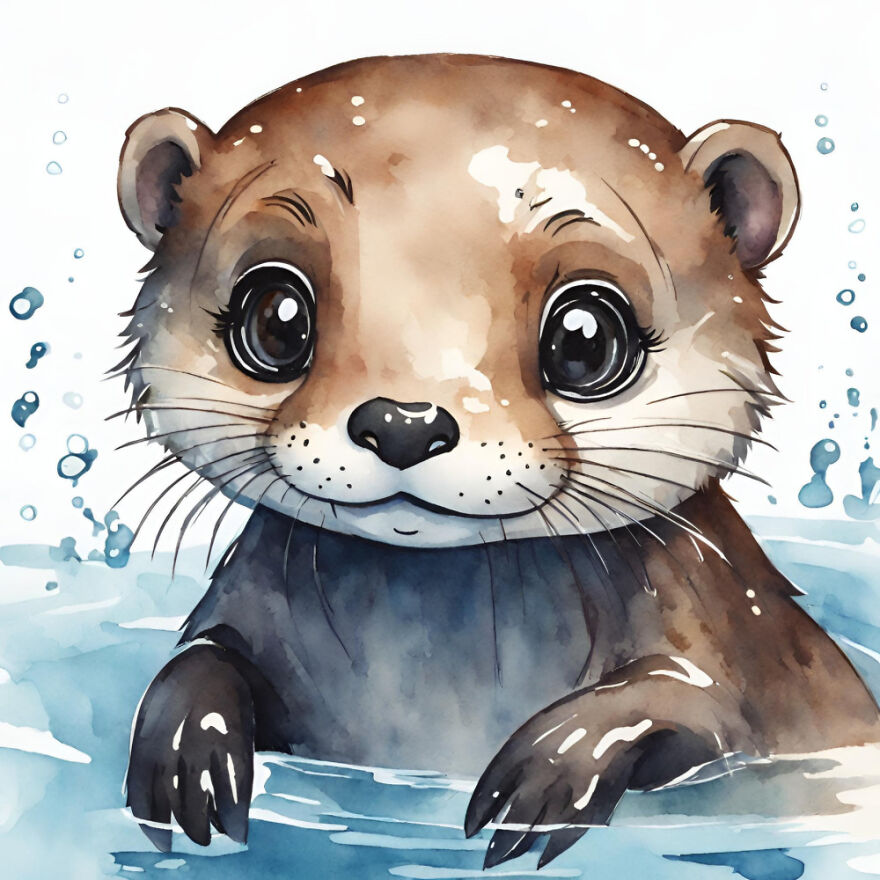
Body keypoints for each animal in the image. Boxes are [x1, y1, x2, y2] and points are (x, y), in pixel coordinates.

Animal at [115, 55, 879, 869]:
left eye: (585, 337)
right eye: (275, 317)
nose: (405, 422)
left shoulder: (739, 651)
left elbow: (690, 699)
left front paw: (555, 767)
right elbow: (202, 655)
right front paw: (188, 749)